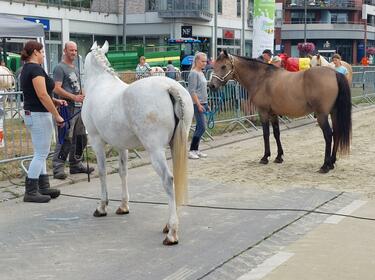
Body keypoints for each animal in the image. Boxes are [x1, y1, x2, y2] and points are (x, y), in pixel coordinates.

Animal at [82, 41, 194, 245]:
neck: (100, 82)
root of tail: (170, 87)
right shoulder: (121, 146)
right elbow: (122, 172)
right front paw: (123, 206)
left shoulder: (96, 140)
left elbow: (102, 172)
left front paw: (102, 207)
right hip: (176, 144)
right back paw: (168, 226)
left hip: (155, 149)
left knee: (168, 180)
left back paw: (172, 233)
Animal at [209, 50, 352, 173]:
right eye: (215, 66)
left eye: (223, 66)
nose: (211, 85)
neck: (262, 78)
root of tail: (334, 73)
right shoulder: (273, 114)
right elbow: (276, 134)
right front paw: (279, 157)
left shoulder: (263, 112)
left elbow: (266, 134)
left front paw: (265, 157)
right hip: (334, 113)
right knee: (337, 133)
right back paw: (332, 162)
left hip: (322, 115)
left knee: (328, 135)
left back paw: (325, 166)